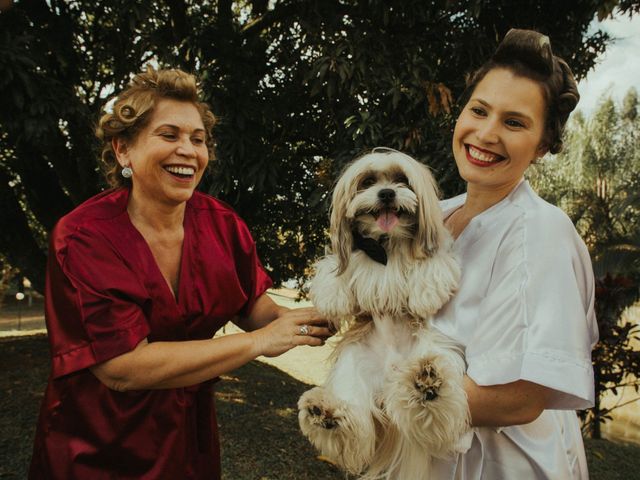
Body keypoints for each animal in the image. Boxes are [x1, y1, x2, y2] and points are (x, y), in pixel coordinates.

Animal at [298, 148, 468, 478]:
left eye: (402, 179)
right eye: (367, 182)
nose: (387, 193)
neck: (385, 245)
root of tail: (389, 384)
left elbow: (433, 261)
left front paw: (427, 290)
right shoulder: (351, 253)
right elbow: (336, 266)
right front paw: (333, 294)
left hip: (436, 350)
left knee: (434, 409)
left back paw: (427, 384)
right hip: (352, 365)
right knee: (354, 426)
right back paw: (325, 414)